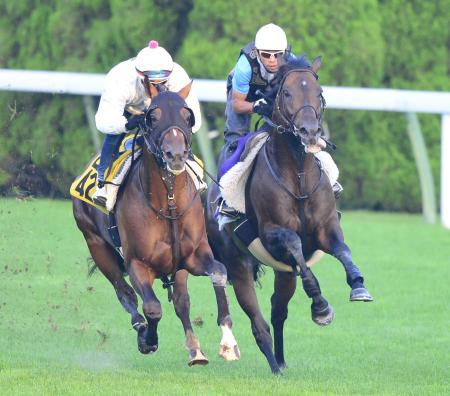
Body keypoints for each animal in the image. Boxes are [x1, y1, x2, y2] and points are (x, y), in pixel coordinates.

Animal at [73, 84, 241, 368]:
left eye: (187, 115)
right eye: (152, 116)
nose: (176, 154)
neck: (169, 204)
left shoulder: (193, 256)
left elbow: (218, 272)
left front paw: (228, 343)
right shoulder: (138, 263)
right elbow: (152, 307)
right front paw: (148, 340)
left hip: (178, 268)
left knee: (181, 302)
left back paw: (195, 350)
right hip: (96, 245)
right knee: (125, 293)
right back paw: (141, 328)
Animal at [206, 57, 370, 372]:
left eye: (319, 92)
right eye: (287, 93)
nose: (309, 131)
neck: (298, 177)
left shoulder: (325, 229)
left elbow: (342, 249)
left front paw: (358, 285)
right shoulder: (272, 233)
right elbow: (294, 243)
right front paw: (321, 307)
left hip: (283, 273)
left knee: (277, 309)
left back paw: (281, 362)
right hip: (237, 264)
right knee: (258, 320)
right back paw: (272, 363)